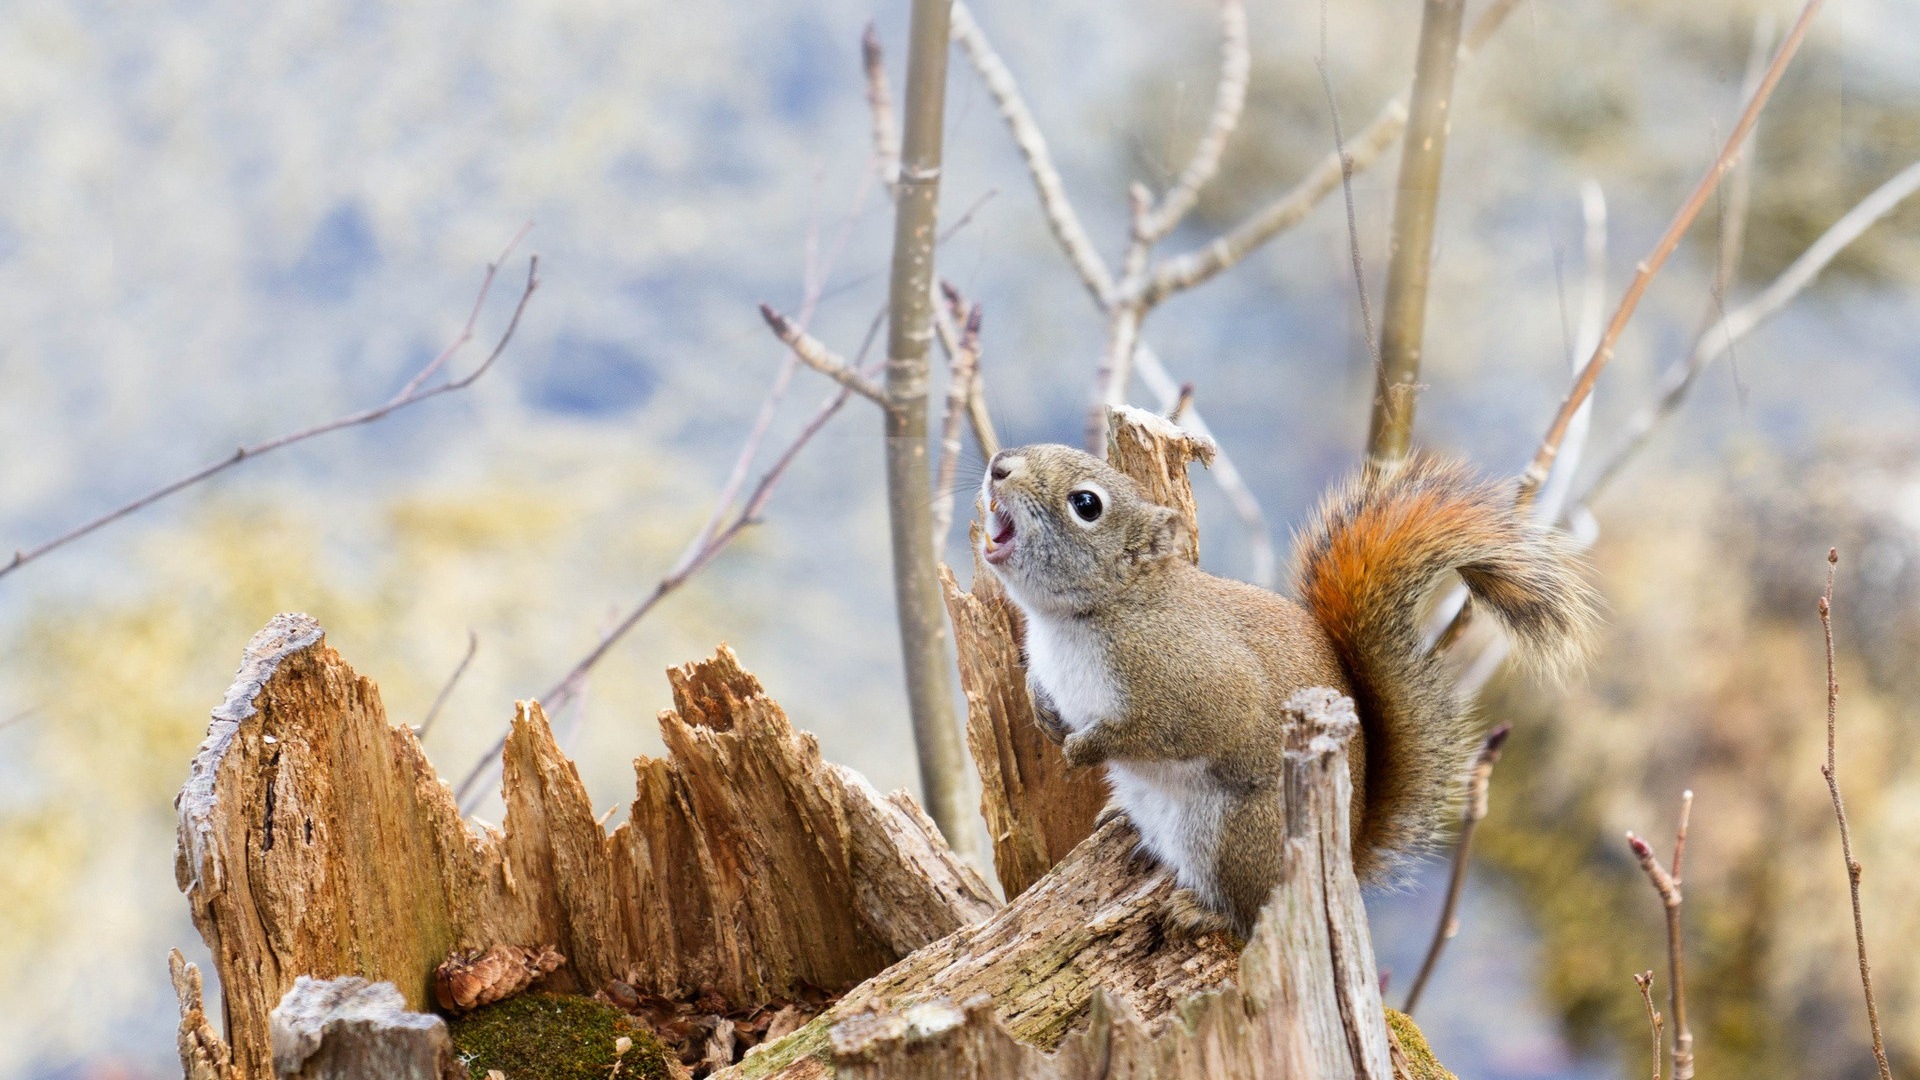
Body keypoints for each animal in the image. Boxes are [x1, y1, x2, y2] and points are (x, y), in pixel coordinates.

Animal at [983, 438, 1597, 933]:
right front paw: (1045, 713)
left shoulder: (1194, 679)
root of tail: (1345, 856)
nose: (998, 466)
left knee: (1250, 911)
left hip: (1238, 836)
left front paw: (1085, 747)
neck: (1076, 619)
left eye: (1086, 505)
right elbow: (1045, 691)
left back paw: (1202, 912)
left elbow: (1168, 730)